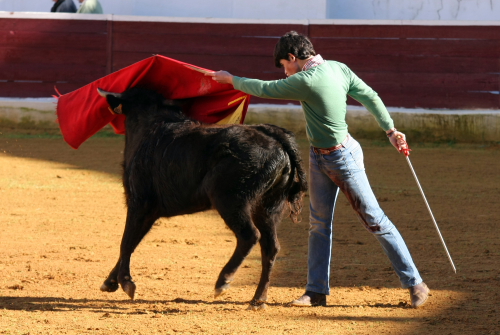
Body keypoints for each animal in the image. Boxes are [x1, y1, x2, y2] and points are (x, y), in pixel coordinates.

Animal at [96, 86, 308, 310]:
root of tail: (277, 138)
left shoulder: (139, 202)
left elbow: (126, 241)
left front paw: (126, 282)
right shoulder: (149, 211)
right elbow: (133, 241)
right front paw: (110, 282)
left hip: (230, 199)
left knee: (250, 235)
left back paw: (223, 281)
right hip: (269, 206)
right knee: (271, 247)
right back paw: (258, 300)